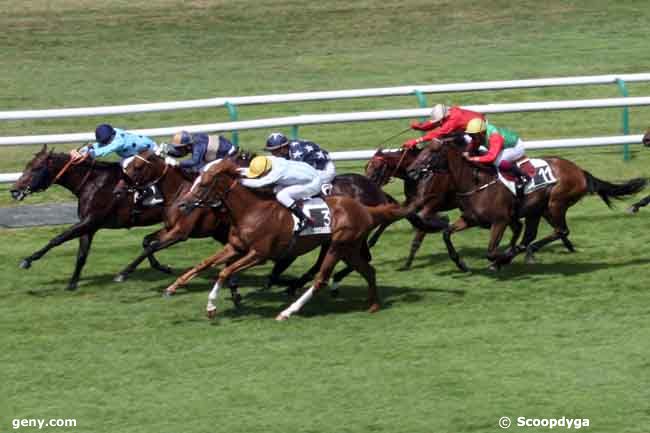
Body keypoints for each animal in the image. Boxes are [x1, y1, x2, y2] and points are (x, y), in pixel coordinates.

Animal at [9, 145, 166, 290]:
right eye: (27, 165)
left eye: (37, 168)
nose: (14, 191)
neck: (93, 183)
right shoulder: (89, 226)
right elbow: (81, 255)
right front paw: (72, 284)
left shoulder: (90, 220)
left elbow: (58, 238)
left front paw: (28, 260)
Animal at [167, 159, 410, 318]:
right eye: (194, 181)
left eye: (203, 185)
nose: (182, 205)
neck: (252, 211)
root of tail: (366, 209)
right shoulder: (236, 246)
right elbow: (205, 263)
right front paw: (173, 287)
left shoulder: (259, 255)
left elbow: (225, 272)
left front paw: (211, 307)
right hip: (349, 249)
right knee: (368, 270)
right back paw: (373, 305)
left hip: (337, 245)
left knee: (321, 278)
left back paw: (288, 311)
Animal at [408, 140, 644, 268]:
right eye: (421, 151)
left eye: (431, 152)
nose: (411, 171)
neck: (476, 182)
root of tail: (580, 171)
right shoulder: (471, 219)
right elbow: (446, 233)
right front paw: (461, 263)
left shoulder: (500, 221)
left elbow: (491, 251)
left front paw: (500, 260)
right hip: (537, 210)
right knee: (536, 234)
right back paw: (526, 251)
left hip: (555, 203)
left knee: (559, 231)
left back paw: (524, 252)